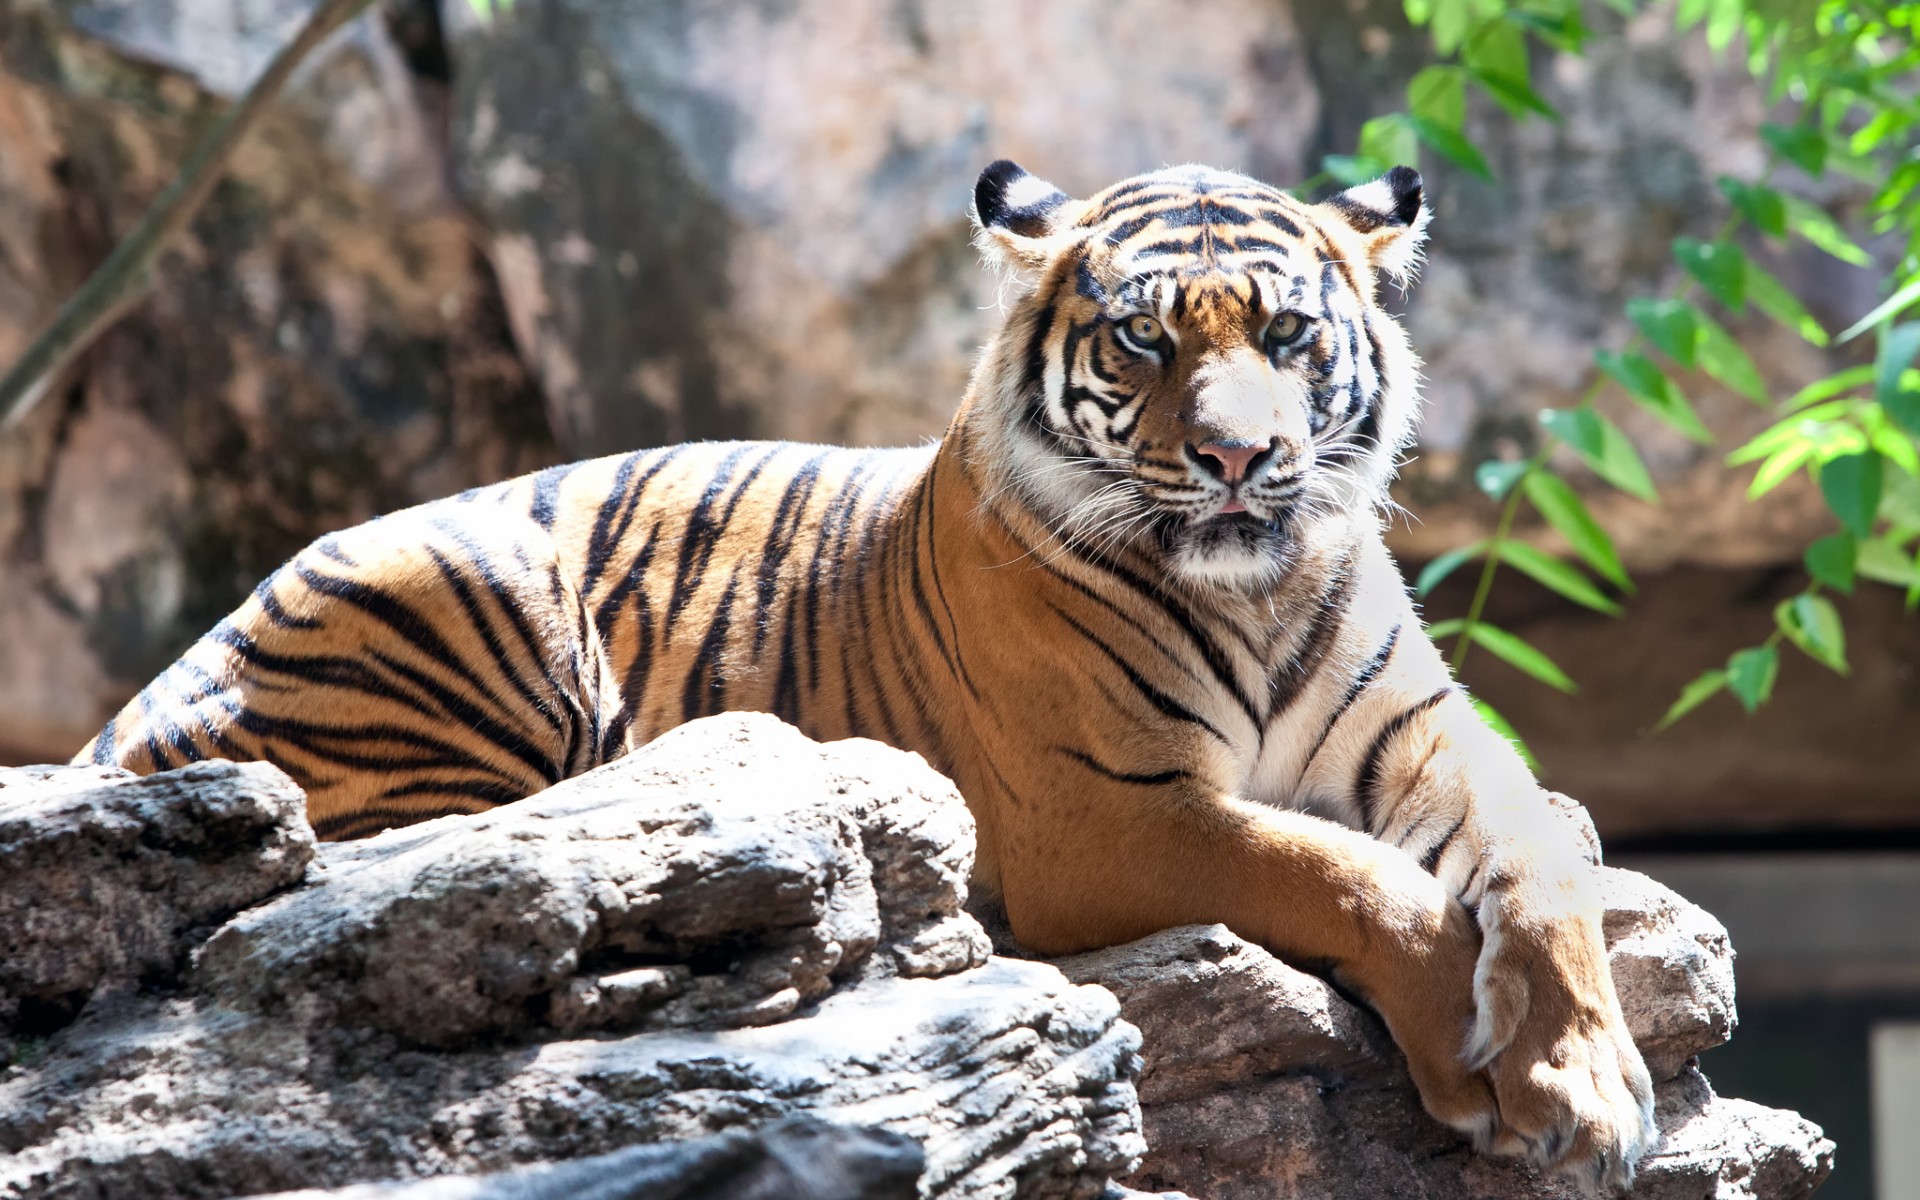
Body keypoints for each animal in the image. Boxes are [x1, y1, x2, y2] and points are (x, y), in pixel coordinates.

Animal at [82, 159, 1658, 1190]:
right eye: (1145, 337)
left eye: (1286, 333)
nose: (1237, 458)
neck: (1255, 588)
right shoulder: (1102, 814)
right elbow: (1339, 873)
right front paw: (1474, 1061)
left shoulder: (1426, 731)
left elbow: (1536, 857)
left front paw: (1580, 1077)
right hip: (461, 587)